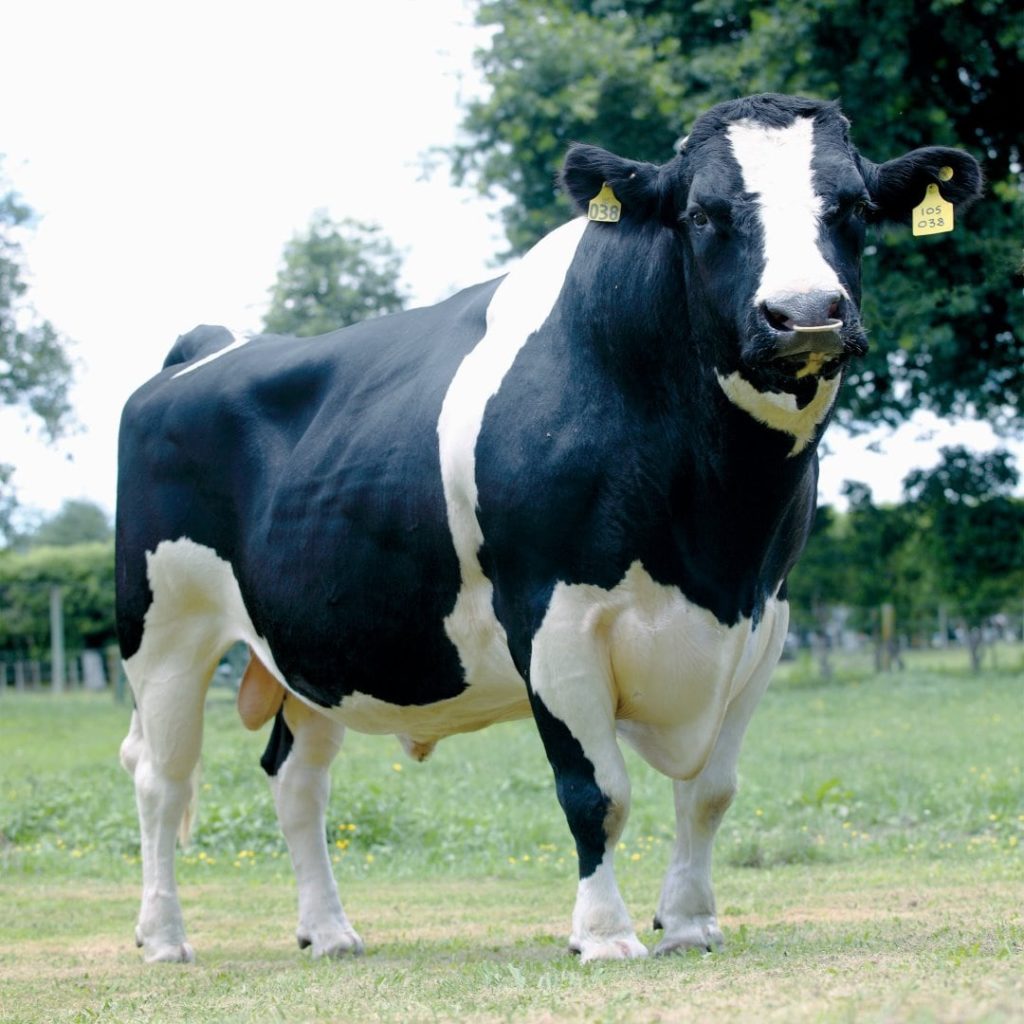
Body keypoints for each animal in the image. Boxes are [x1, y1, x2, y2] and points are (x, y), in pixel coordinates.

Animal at [116, 94, 978, 958]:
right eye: (703, 213)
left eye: (856, 207)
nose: (805, 315)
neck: (713, 537)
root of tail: (206, 348)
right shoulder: (551, 618)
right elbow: (596, 793)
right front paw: (603, 934)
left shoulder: (765, 620)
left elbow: (709, 792)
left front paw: (691, 922)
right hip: (165, 633)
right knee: (162, 780)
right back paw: (163, 936)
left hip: (311, 652)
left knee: (297, 779)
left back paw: (328, 931)